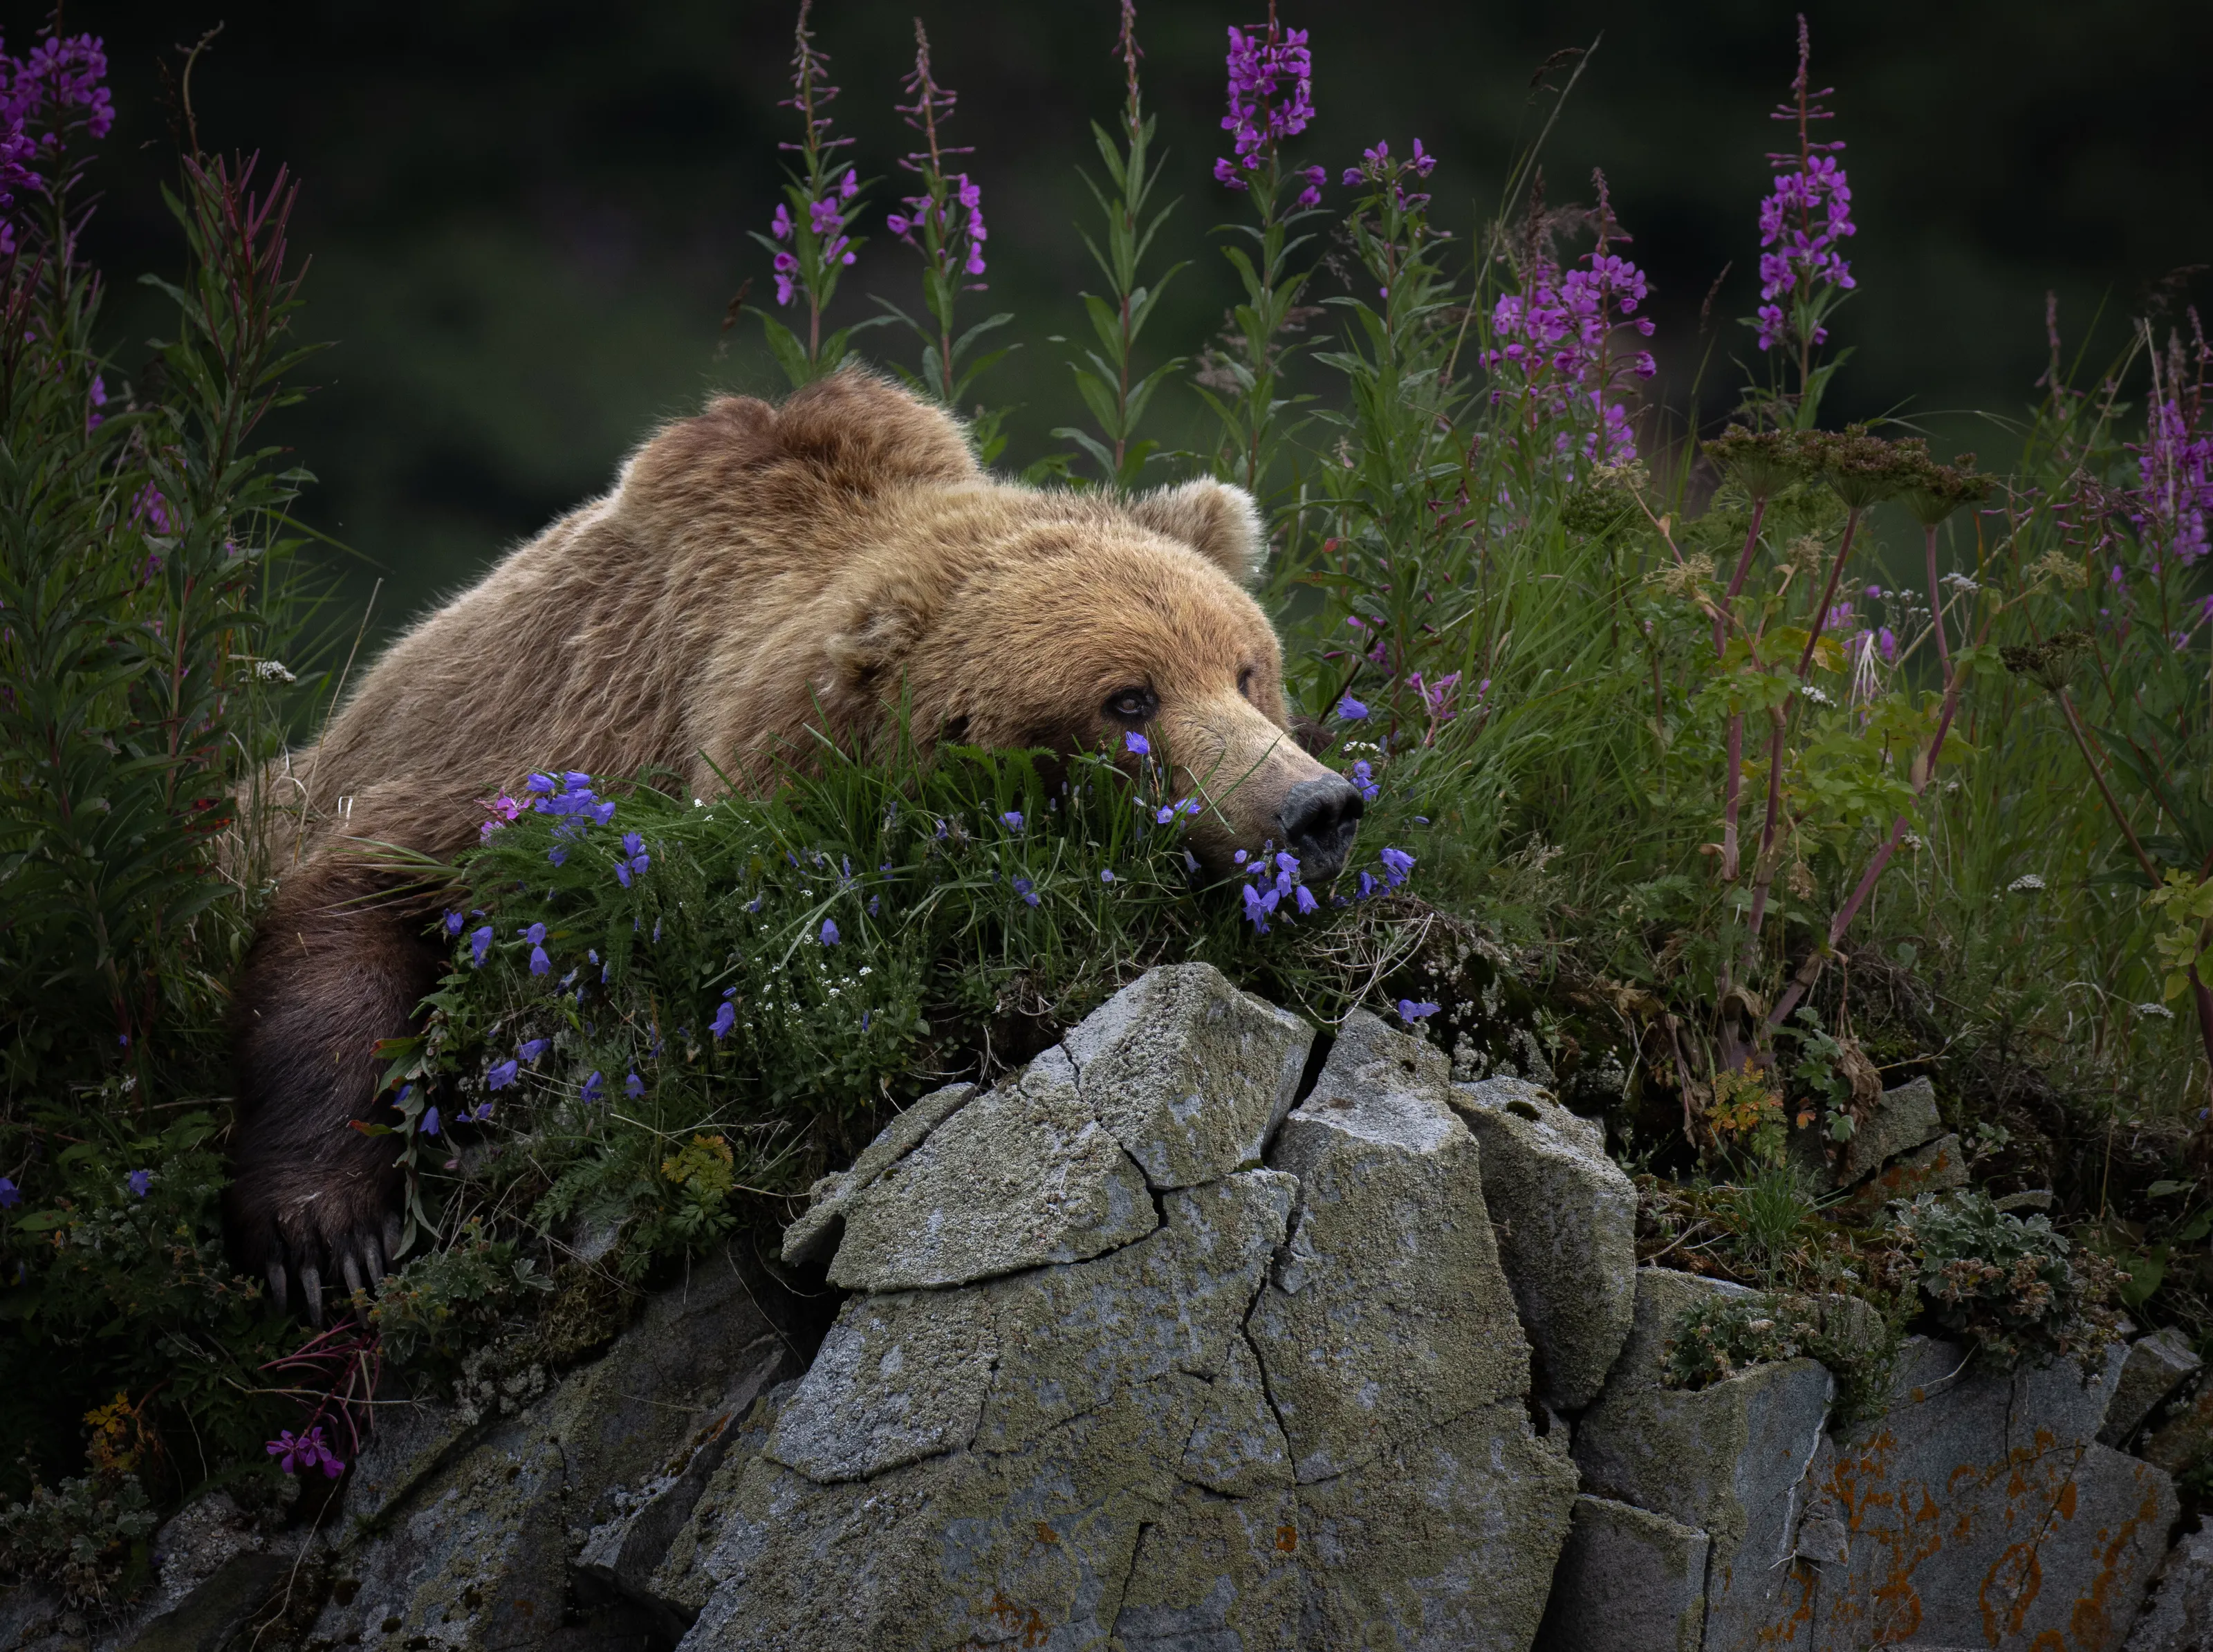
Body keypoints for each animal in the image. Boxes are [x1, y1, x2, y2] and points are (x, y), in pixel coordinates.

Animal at [228, 370, 1363, 1321]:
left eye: (1247, 667)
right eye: (1128, 698)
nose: (1315, 808)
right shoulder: (537, 749)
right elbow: (360, 896)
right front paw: (323, 1235)